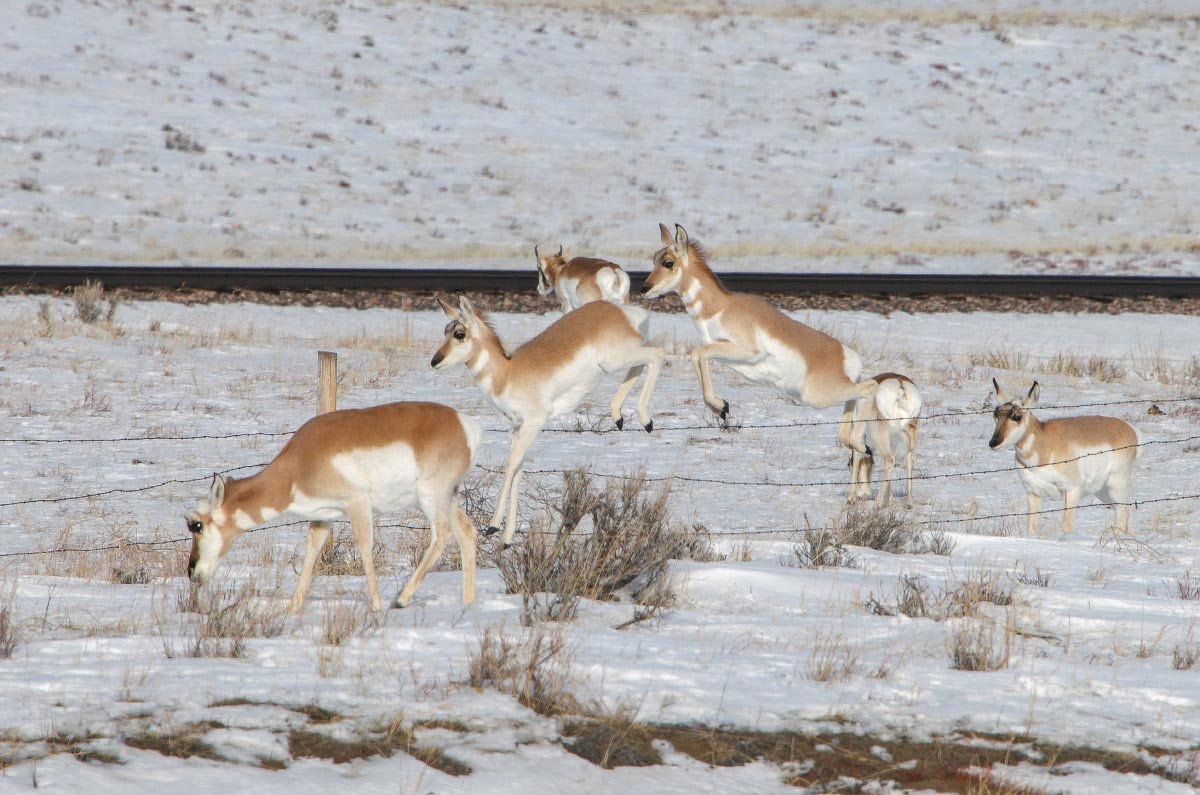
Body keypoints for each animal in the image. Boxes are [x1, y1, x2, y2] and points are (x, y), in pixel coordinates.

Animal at [184, 405, 480, 614]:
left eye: (196, 525)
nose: (191, 573)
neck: (296, 466)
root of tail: (464, 423)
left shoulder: (357, 504)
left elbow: (365, 548)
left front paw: (375, 606)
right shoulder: (322, 519)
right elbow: (310, 555)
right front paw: (292, 609)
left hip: (432, 496)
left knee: (442, 535)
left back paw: (401, 599)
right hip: (449, 498)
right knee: (467, 532)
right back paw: (467, 604)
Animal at [432, 293, 667, 547]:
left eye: (459, 333)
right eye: (445, 330)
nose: (435, 361)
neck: (507, 373)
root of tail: (620, 310)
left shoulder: (534, 422)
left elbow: (511, 464)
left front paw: (493, 526)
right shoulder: (515, 429)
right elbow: (518, 470)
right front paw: (507, 538)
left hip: (615, 359)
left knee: (657, 354)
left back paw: (645, 420)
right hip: (619, 359)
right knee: (642, 363)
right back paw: (618, 416)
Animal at [643, 224, 878, 449]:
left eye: (668, 262)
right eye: (654, 259)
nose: (645, 288)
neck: (721, 307)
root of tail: (846, 355)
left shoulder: (746, 351)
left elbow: (699, 352)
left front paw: (721, 406)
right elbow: (697, 355)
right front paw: (721, 407)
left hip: (817, 396)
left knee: (869, 387)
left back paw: (859, 443)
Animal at [844, 374, 916, 511]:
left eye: (848, 465)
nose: (863, 494)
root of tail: (900, 386)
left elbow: (857, 456)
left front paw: (851, 499)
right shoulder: (892, 443)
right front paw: (890, 501)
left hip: (879, 438)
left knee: (889, 459)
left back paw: (877, 504)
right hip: (908, 437)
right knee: (908, 461)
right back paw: (909, 503)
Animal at [988, 379, 1137, 535]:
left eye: (1017, 416)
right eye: (995, 415)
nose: (993, 442)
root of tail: (1129, 428)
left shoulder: (1071, 491)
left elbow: (1066, 526)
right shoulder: (1033, 493)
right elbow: (1031, 529)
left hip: (1116, 485)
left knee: (1121, 515)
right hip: (1104, 491)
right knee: (1127, 512)